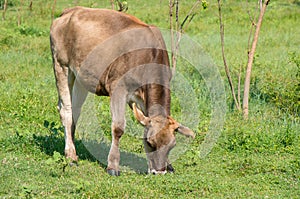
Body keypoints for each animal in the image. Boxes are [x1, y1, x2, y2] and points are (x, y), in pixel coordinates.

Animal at [49, 6, 195, 176]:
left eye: (172, 146)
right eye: (150, 142)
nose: (158, 172)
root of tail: (71, 10)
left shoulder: (142, 99)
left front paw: (169, 166)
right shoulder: (118, 88)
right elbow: (118, 127)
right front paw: (113, 166)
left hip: (81, 76)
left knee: (75, 111)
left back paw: (71, 146)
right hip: (61, 65)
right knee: (66, 110)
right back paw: (71, 156)